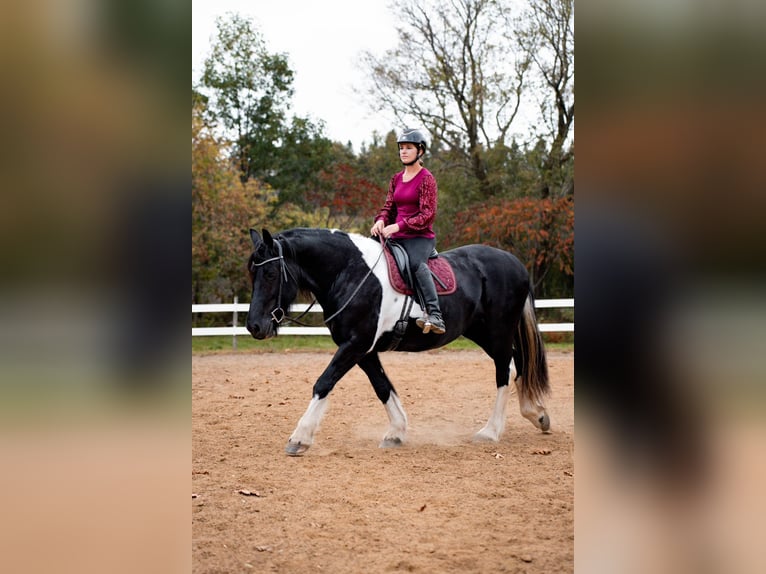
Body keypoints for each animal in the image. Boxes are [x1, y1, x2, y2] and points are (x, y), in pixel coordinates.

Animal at [248, 227, 552, 456]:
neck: (352, 273)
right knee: (518, 363)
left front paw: (299, 438)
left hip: (498, 331)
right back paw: (537, 415)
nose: (254, 326)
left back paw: (491, 431)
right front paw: (396, 432)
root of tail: (515, 263)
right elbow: (382, 386)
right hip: (482, 333)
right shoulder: (363, 350)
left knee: (505, 370)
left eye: (271, 274)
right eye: (253, 274)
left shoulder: (356, 344)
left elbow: (324, 382)